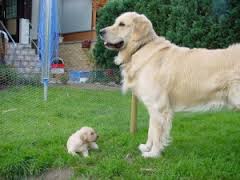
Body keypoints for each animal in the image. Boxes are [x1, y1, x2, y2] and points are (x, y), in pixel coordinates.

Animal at [100, 11, 240, 158]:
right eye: (115, 22)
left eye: (122, 24)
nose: (100, 31)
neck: (141, 47)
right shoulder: (153, 106)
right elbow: (151, 130)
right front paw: (147, 147)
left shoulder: (158, 106)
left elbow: (156, 133)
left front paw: (153, 154)